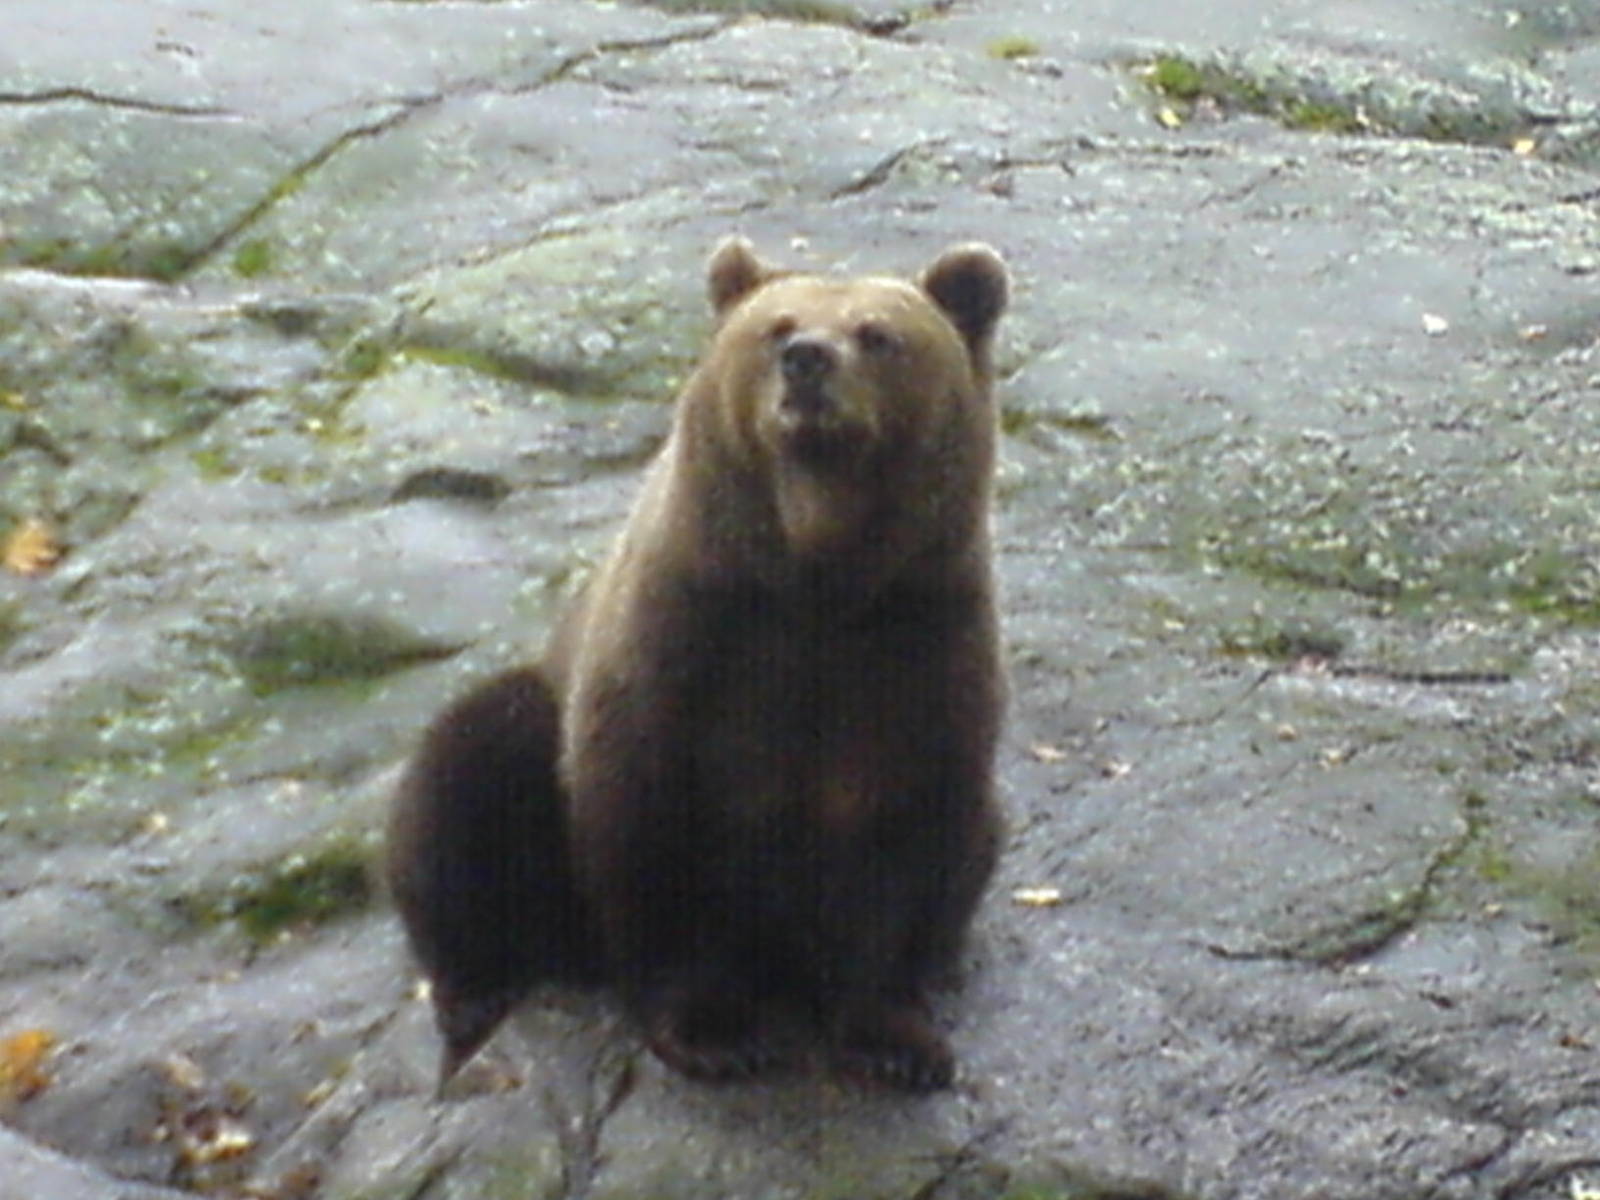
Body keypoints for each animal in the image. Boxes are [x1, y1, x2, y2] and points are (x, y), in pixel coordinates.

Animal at [387, 236, 1009, 1092]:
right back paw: (472, 990)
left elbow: (906, 849)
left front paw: (898, 1039)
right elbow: (654, 837)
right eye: (777, 326)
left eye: (877, 334)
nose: (807, 360)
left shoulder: (915, 651)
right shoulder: (688, 647)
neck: (816, 576)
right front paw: (715, 1032)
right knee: (466, 773)